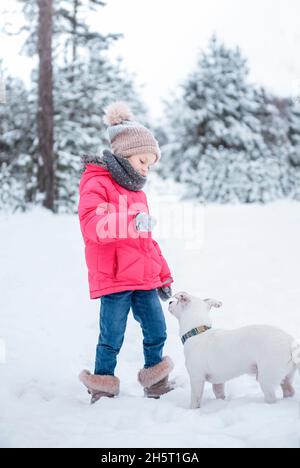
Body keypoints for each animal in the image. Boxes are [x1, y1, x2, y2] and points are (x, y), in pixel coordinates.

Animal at [169, 290, 300, 408]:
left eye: (176, 301)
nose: (169, 301)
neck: (197, 332)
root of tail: (290, 343)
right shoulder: (218, 382)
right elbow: (219, 393)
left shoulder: (197, 379)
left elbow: (195, 401)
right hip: (286, 376)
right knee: (289, 390)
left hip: (266, 378)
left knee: (272, 397)